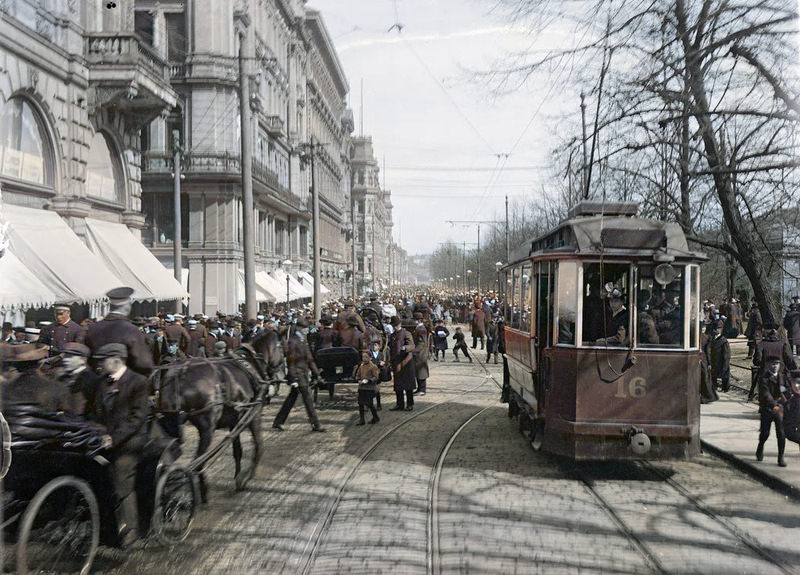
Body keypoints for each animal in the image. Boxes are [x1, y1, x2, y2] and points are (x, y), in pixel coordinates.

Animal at [153, 330, 284, 502]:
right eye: (281, 347)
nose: (282, 369)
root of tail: (180, 373)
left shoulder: (235, 422)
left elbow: (237, 450)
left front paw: (238, 477)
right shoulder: (253, 415)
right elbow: (258, 446)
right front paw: (245, 477)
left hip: (170, 424)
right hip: (207, 428)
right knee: (198, 462)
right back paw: (200, 491)